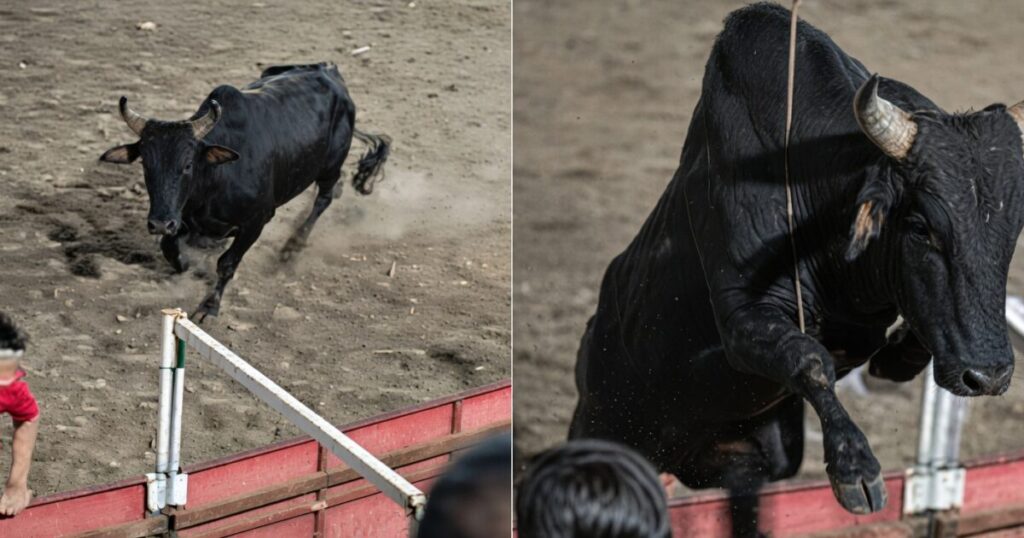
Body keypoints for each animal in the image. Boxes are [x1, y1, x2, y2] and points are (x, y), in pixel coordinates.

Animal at [99, 62, 390, 322]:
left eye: (188, 164)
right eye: (145, 163)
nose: (160, 223)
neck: (215, 180)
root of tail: (329, 71)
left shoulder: (256, 221)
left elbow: (227, 263)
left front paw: (209, 306)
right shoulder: (183, 219)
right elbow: (170, 249)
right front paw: (191, 266)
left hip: (331, 166)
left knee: (324, 199)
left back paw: (291, 247)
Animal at [569, 2, 1024, 519]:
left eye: (1012, 229)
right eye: (920, 225)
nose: (988, 374)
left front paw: (898, 359)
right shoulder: (743, 318)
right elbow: (809, 359)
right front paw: (855, 468)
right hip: (600, 422)